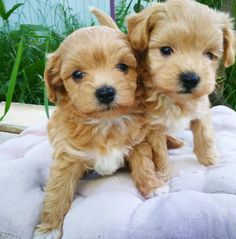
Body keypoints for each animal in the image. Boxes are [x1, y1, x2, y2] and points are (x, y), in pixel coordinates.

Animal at [128, 0, 235, 176]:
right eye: (165, 50)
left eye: (209, 55)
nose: (191, 79)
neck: (175, 99)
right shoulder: (154, 125)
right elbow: (159, 151)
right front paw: (163, 173)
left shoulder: (202, 107)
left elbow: (205, 134)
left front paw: (209, 159)